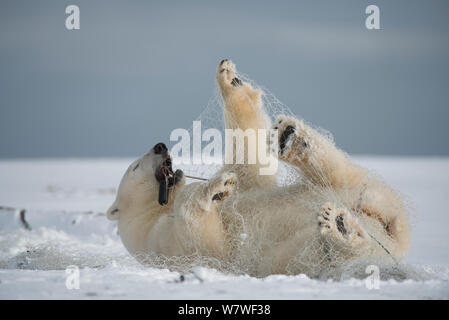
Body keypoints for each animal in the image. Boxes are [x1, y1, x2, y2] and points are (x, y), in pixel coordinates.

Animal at [107, 59, 410, 278]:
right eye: (135, 167)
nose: (159, 145)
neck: (155, 211)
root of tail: (392, 239)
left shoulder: (248, 186)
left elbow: (249, 163)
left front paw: (229, 79)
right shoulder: (163, 243)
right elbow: (205, 237)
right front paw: (215, 188)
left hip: (363, 194)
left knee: (341, 174)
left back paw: (292, 139)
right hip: (290, 254)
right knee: (315, 253)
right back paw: (339, 229)